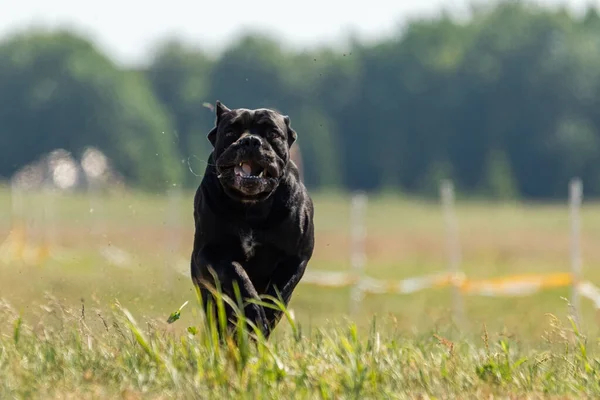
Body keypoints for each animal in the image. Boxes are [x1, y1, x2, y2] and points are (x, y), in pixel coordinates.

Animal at [191, 100, 314, 338]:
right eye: (230, 131)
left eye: (272, 133)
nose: (250, 140)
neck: (252, 207)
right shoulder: (210, 252)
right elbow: (237, 275)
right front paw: (254, 313)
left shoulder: (295, 259)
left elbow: (278, 293)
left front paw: (263, 317)